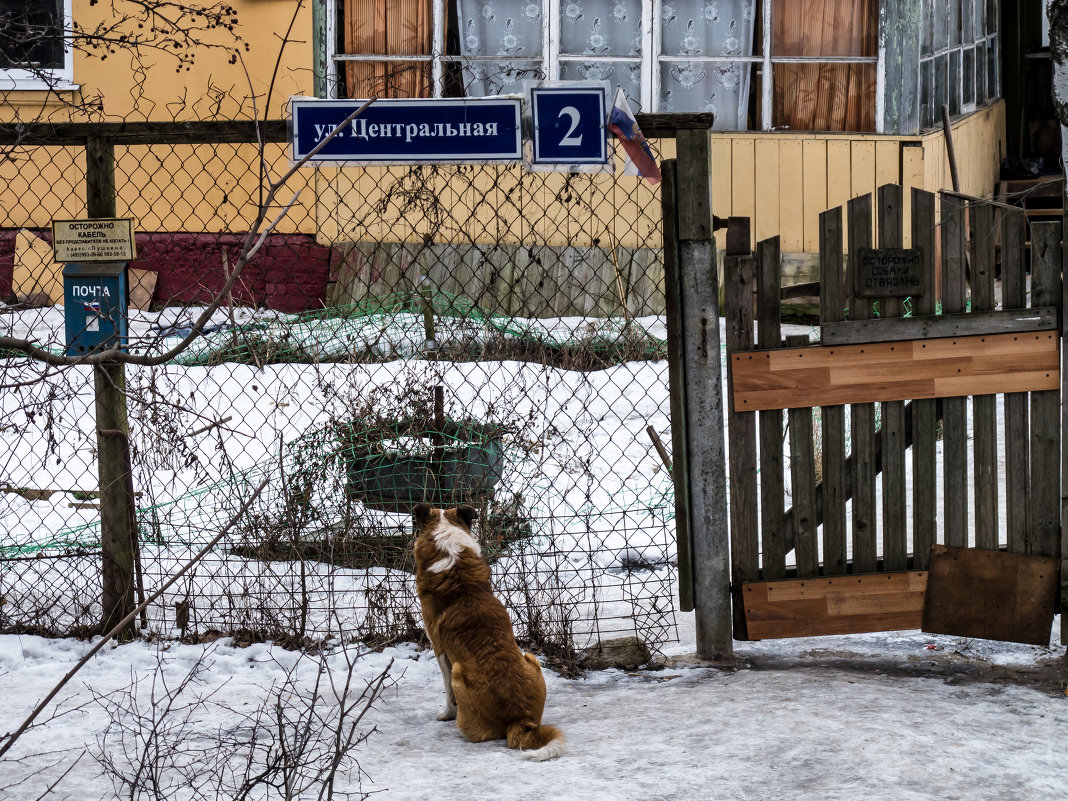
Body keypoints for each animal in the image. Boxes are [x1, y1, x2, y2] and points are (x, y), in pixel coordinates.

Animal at [412, 504, 568, 760]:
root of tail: (519, 719)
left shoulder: (440, 650)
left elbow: (447, 693)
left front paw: (446, 714)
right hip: (531, 657)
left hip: (458, 669)